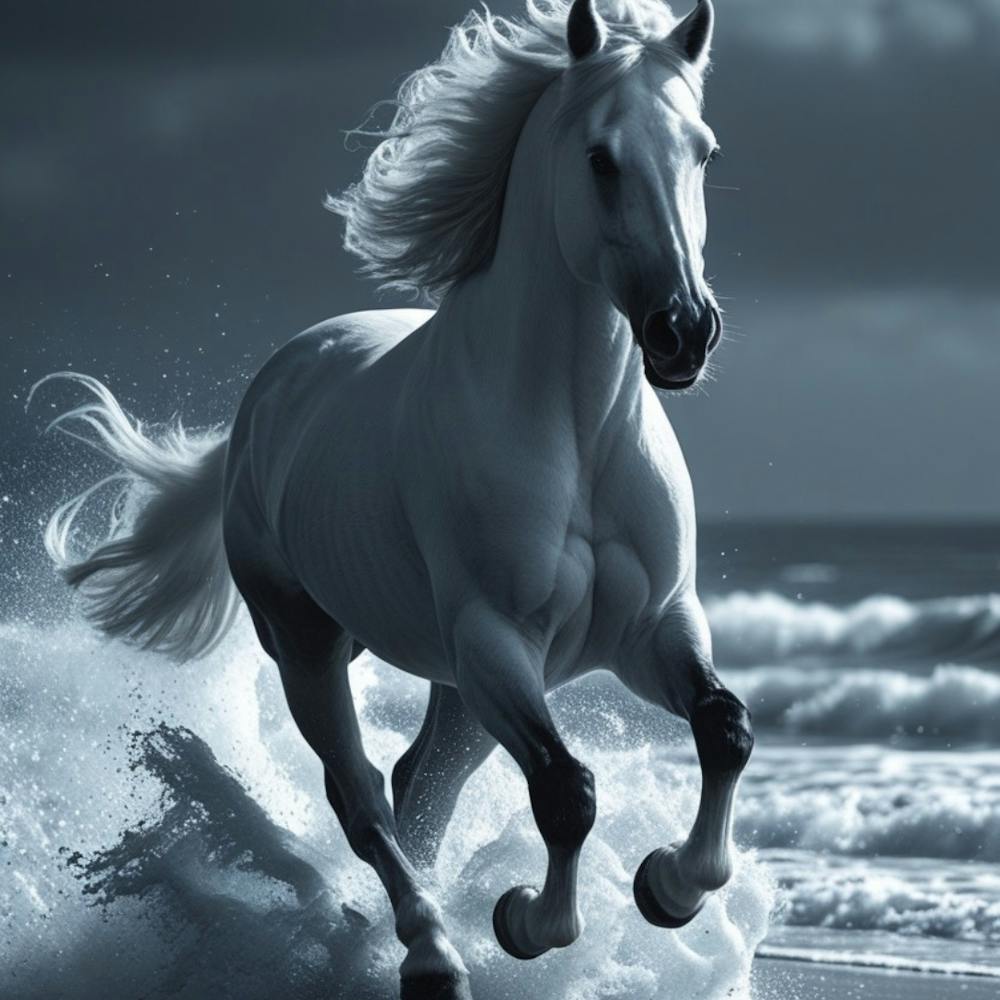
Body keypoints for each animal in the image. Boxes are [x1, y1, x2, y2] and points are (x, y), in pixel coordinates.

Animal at [36, 2, 752, 997]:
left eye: (705, 152)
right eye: (601, 159)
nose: (683, 331)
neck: (575, 433)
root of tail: (277, 385)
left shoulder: (650, 629)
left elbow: (724, 730)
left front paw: (668, 890)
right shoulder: (494, 636)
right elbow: (566, 792)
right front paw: (526, 922)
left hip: (468, 681)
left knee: (421, 785)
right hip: (312, 646)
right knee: (365, 796)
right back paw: (427, 952)